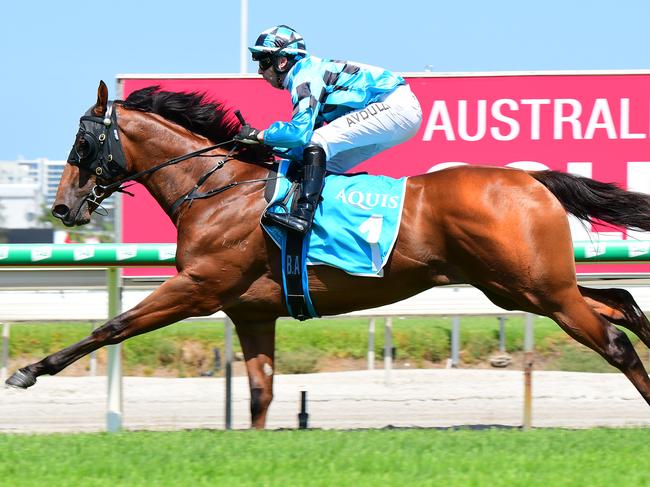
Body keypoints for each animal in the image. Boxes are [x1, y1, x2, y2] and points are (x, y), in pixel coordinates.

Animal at [7, 81, 648, 430]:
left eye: (82, 143)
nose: (62, 207)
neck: (220, 191)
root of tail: (531, 178)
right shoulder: (251, 312)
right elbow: (261, 392)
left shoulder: (197, 287)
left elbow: (111, 326)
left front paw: (29, 370)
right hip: (520, 286)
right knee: (620, 300)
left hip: (535, 288)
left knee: (614, 338)